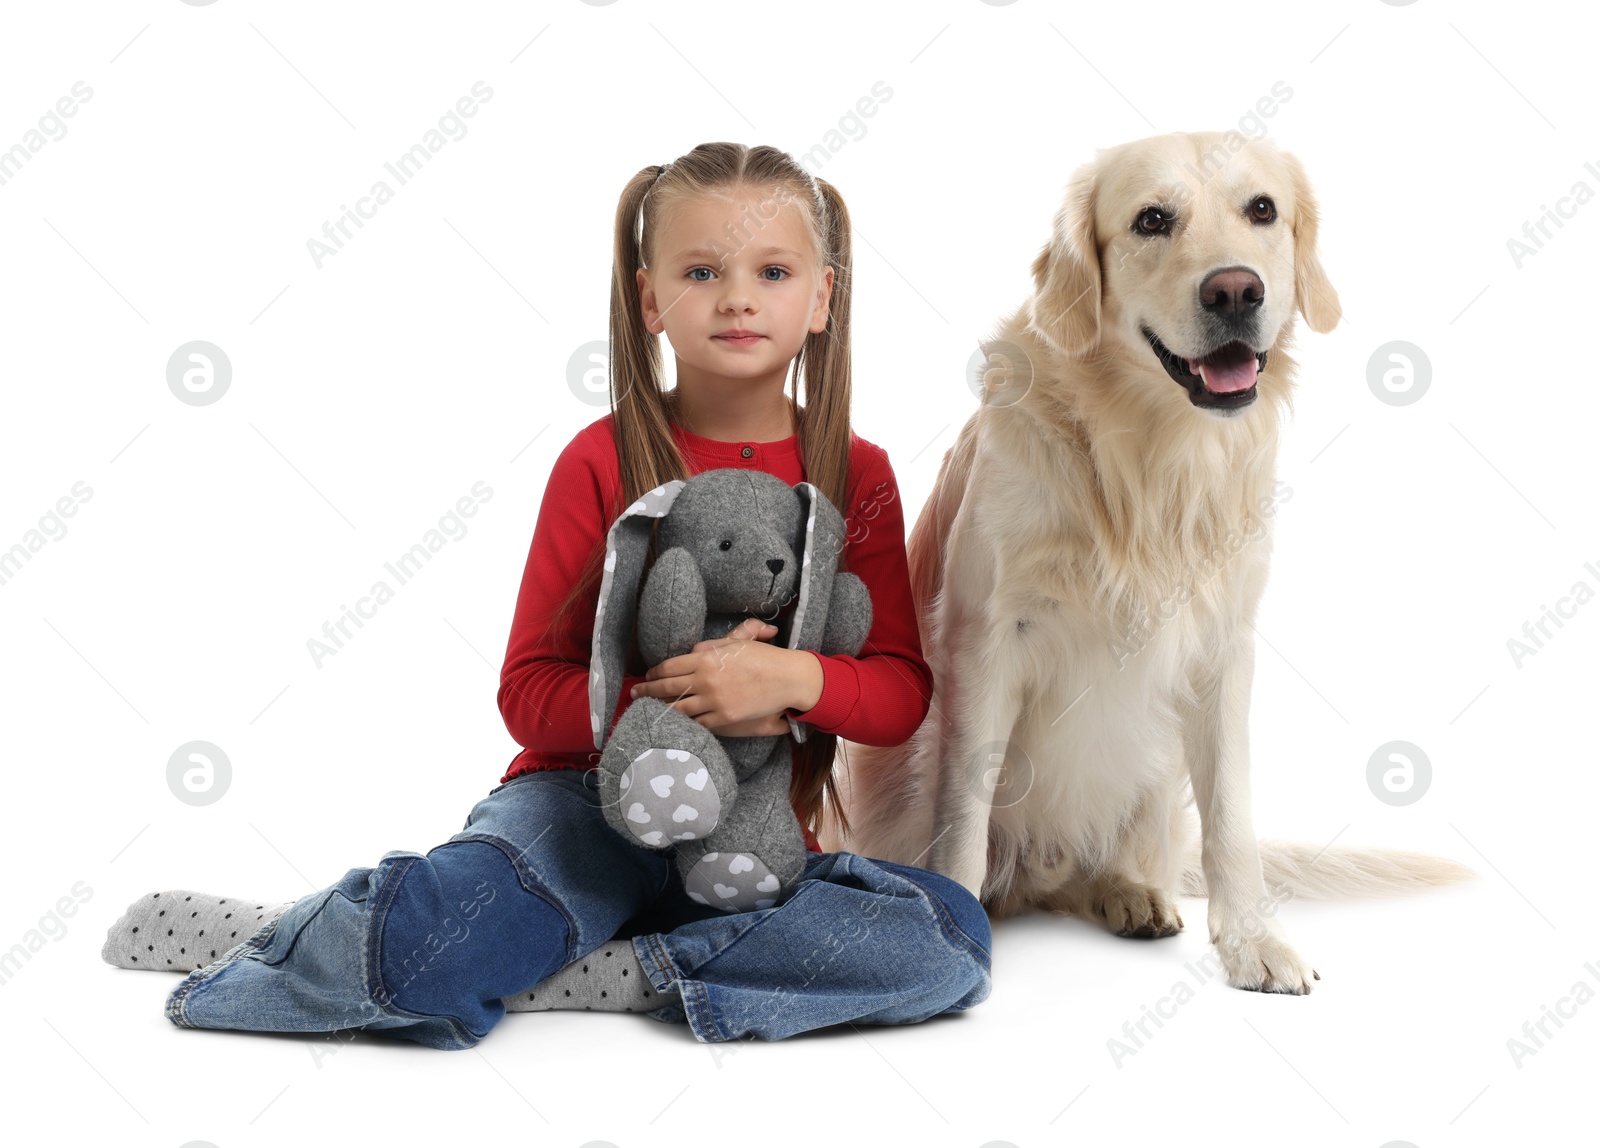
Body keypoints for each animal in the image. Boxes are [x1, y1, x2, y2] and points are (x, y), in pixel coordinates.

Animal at [832, 132, 1465, 997]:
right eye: (1151, 220)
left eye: (1262, 210)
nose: (1235, 290)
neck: (1149, 455)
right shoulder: (985, 640)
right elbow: (962, 809)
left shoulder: (1224, 649)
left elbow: (1231, 816)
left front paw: (1254, 942)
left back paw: (1132, 893)